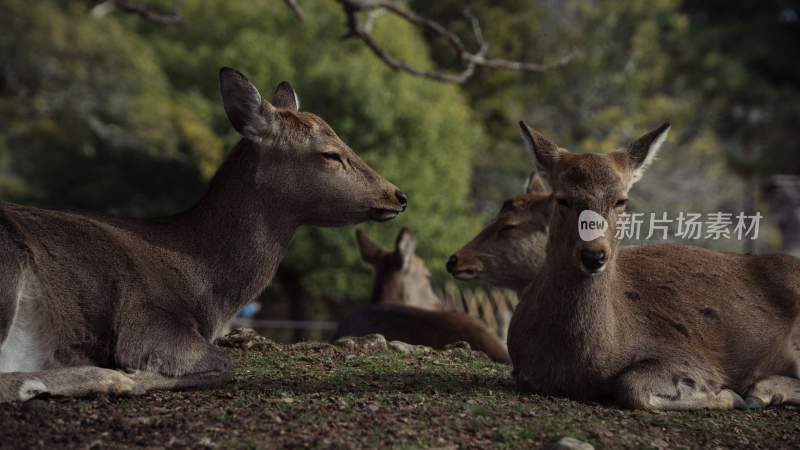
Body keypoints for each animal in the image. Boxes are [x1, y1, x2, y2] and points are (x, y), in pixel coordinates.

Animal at [0, 67, 404, 404]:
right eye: (330, 154)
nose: (398, 195)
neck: (209, 293)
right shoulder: (146, 321)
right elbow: (224, 364)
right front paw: (133, 376)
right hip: (8, 271)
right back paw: (94, 380)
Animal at [510, 121, 796, 410]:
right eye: (562, 199)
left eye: (621, 200)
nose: (594, 255)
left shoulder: (691, 357)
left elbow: (632, 385)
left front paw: (726, 395)